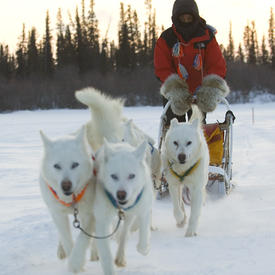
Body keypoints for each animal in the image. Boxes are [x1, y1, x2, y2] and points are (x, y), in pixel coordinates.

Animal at [94, 140, 154, 275]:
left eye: (132, 176)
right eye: (114, 176)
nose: (121, 194)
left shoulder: (144, 208)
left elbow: (142, 242)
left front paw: (144, 248)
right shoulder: (102, 218)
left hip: (130, 217)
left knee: (125, 232)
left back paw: (120, 256)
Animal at [162, 106, 209, 238]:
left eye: (189, 142)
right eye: (175, 143)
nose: (181, 156)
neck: (183, 169)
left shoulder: (196, 189)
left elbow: (195, 212)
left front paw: (191, 231)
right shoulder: (173, 185)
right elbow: (176, 206)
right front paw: (180, 218)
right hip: (179, 186)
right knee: (180, 202)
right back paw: (182, 220)